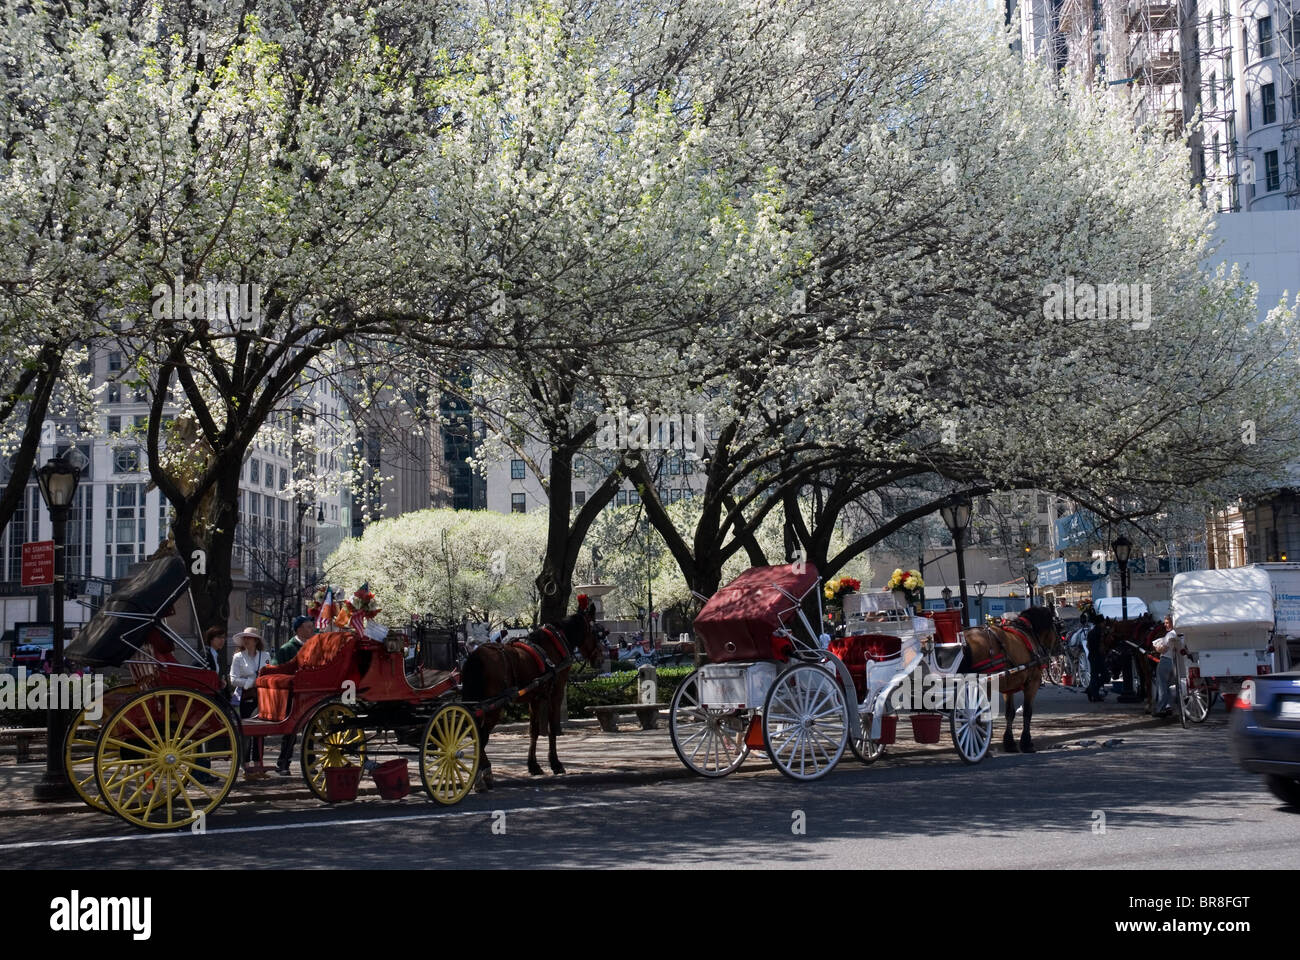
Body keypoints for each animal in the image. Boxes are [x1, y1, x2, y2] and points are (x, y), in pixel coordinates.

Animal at [460, 600, 605, 790]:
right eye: (597, 633)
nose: (601, 659)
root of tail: (476, 656)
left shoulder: (534, 698)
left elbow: (533, 731)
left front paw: (533, 765)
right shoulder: (555, 694)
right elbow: (552, 729)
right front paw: (555, 763)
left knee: (475, 732)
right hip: (493, 707)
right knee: (480, 735)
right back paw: (484, 772)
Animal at [961, 600, 1060, 749]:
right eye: (1058, 624)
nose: (1060, 647)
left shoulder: (1009, 687)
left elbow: (1010, 713)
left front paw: (1009, 741)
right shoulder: (1033, 683)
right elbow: (1027, 712)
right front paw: (1026, 742)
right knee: (975, 714)